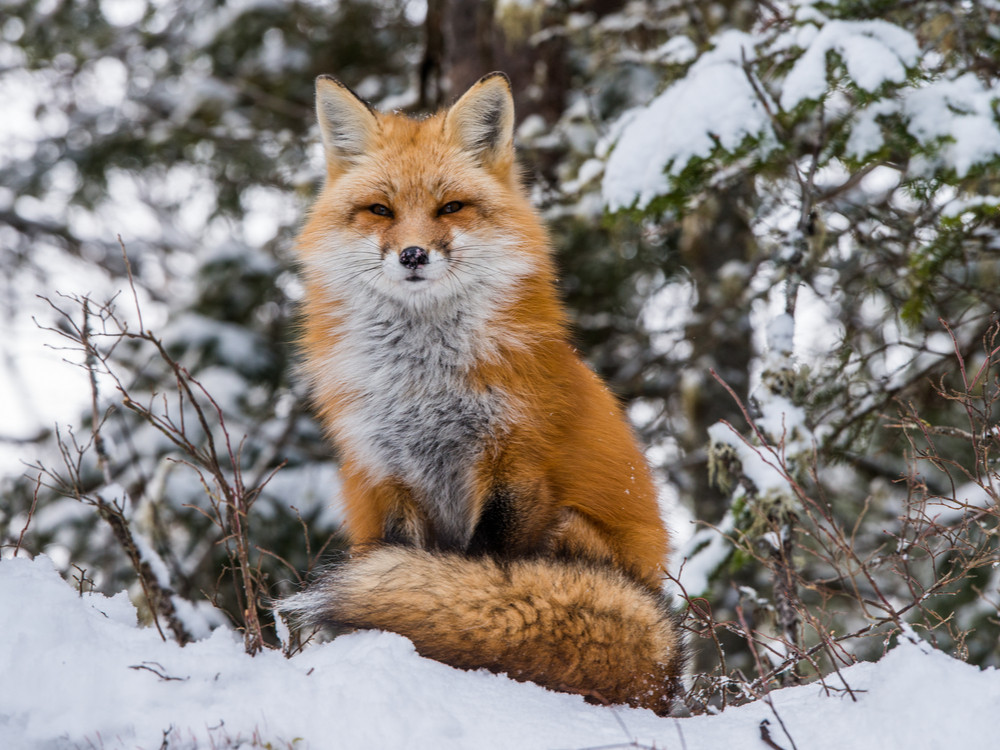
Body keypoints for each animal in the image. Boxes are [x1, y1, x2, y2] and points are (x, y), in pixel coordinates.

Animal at [280, 72, 685, 714]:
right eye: (380, 210)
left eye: (450, 207)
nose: (413, 255)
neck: (422, 384)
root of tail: (666, 679)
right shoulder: (387, 477)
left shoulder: (516, 466)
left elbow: (482, 576)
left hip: (570, 525)